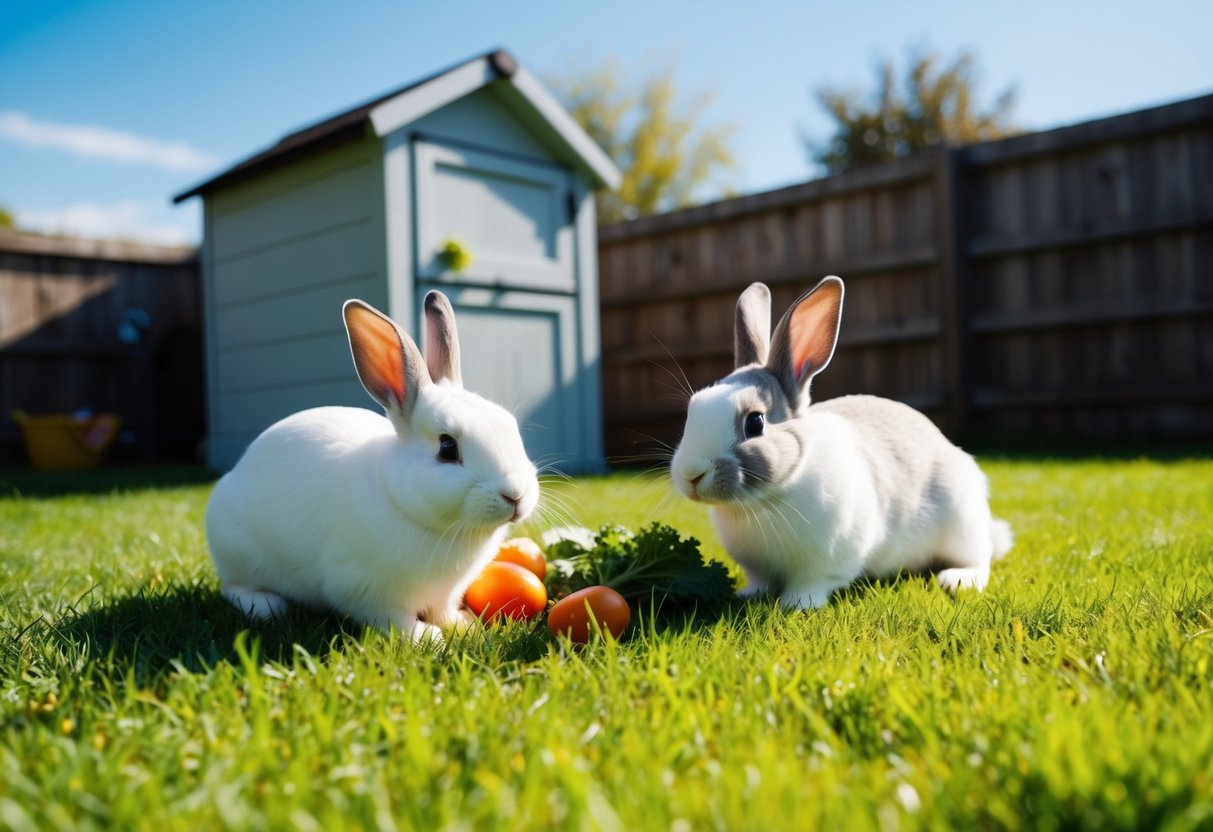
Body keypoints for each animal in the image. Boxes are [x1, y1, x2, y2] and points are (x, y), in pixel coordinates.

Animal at [205, 291, 539, 641]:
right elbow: (395, 620)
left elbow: (444, 611)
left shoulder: (444, 595)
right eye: (447, 448)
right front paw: (428, 638)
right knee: (233, 588)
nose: (515, 494)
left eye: (510, 425)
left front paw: (465, 626)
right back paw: (268, 606)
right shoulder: (368, 593)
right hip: (237, 554)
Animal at [670, 277, 1012, 609]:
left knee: (980, 559)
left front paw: (797, 605)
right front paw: (747, 596)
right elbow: (759, 583)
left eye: (755, 422)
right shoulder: (757, 569)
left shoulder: (826, 563)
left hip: (961, 524)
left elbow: (812, 584)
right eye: (693, 409)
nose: (691, 474)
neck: (766, 500)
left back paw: (958, 579)